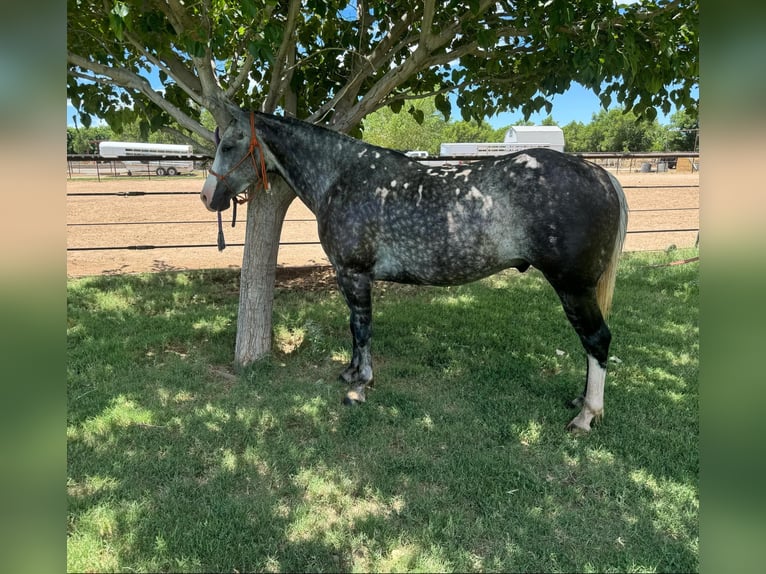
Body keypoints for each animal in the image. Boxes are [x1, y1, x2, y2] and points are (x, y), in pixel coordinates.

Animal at [200, 105, 628, 432]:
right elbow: (354, 327)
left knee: (597, 340)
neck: (341, 176)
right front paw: (351, 373)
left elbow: (362, 328)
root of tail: (601, 174)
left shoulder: (354, 273)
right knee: (589, 345)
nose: (207, 197)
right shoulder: (349, 275)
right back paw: (580, 400)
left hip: (573, 287)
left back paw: (586, 416)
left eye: (229, 144)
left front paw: (360, 386)